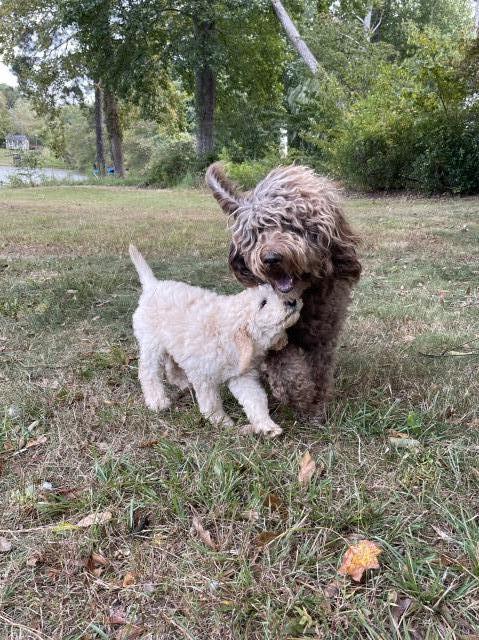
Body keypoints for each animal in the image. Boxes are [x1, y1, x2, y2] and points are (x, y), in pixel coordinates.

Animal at [127, 244, 300, 436]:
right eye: (263, 303)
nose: (292, 301)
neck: (226, 334)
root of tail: (152, 285)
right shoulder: (204, 376)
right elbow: (211, 403)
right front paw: (221, 421)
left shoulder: (241, 376)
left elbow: (255, 399)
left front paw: (266, 425)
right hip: (151, 343)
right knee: (148, 372)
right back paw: (157, 401)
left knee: (171, 366)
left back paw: (182, 383)